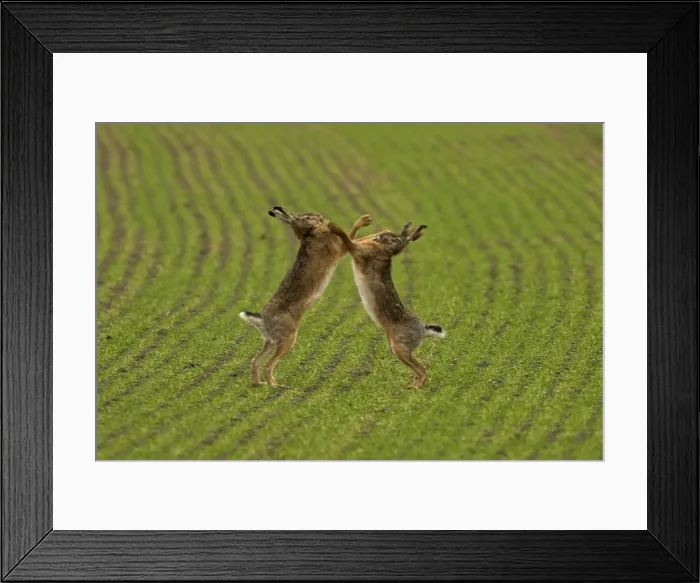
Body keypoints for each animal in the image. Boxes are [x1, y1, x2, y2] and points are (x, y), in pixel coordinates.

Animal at [329, 220, 445, 388]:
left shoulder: (359, 250)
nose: (380, 236)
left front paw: (334, 227)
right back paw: (409, 387)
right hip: (396, 348)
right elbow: (351, 237)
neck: (387, 251)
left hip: (399, 348)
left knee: (422, 369)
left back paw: (415, 389)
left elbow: (347, 238)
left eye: (394, 239)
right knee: (417, 370)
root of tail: (423, 330)